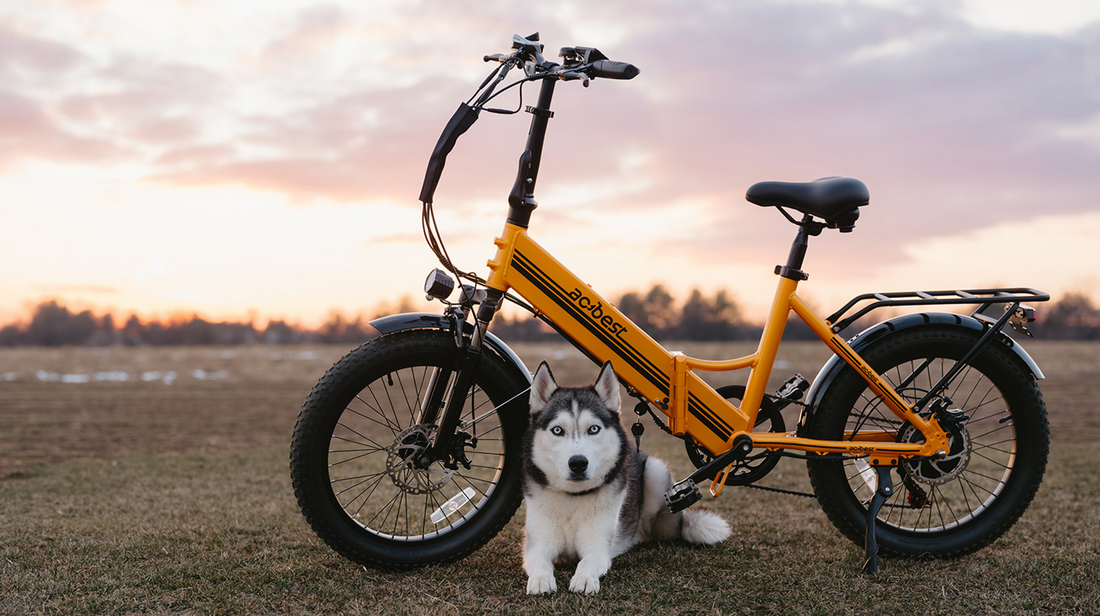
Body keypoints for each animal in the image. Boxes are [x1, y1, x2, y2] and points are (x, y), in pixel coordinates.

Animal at [523, 358, 730, 594]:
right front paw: (541, 579)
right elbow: (540, 562)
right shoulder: (537, 546)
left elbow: (588, 561)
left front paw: (584, 578)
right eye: (557, 430)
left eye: (593, 429)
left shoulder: (598, 547)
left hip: (655, 472)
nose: (578, 463)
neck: (573, 499)